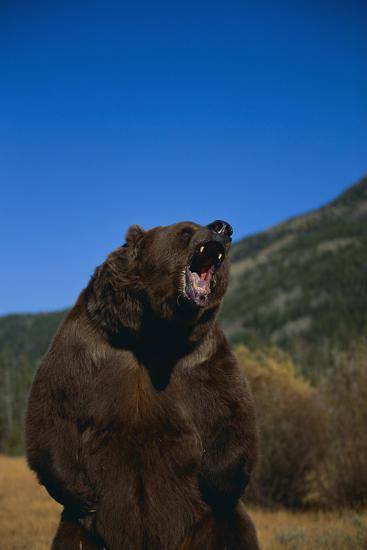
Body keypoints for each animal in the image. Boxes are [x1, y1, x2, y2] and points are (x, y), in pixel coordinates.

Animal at [25, 221, 258, 550]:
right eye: (186, 230)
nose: (223, 227)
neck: (151, 333)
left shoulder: (202, 357)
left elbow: (232, 410)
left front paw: (213, 480)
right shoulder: (85, 344)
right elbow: (54, 408)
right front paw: (82, 493)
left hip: (208, 525)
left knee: (233, 528)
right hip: (84, 532)